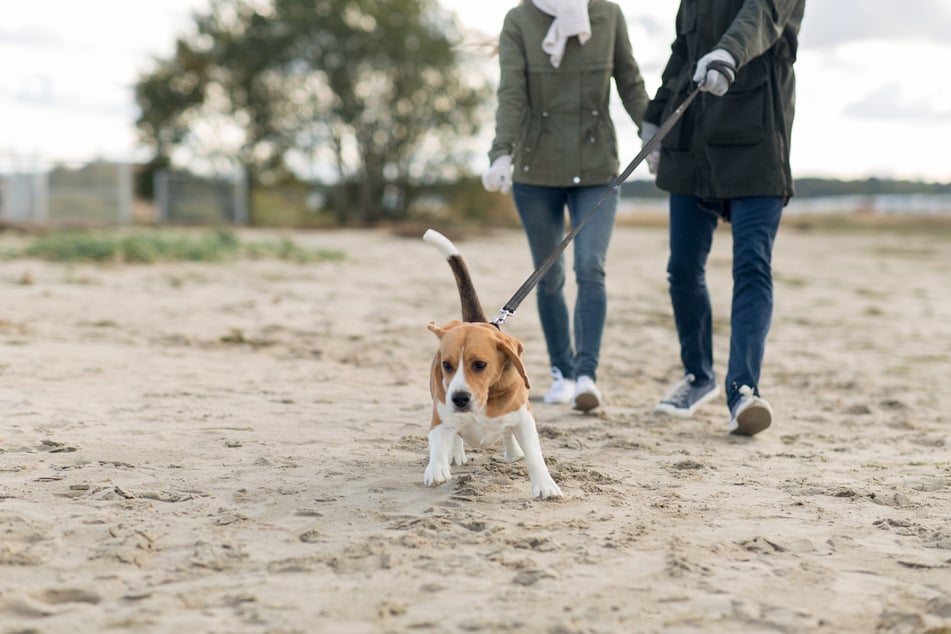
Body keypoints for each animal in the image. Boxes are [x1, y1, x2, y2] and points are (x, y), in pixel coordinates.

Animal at [420, 228, 560, 498]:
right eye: (446, 365)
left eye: (479, 365)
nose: (459, 398)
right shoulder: (440, 415)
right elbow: (439, 439)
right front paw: (437, 468)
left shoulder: (524, 418)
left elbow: (535, 455)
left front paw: (545, 485)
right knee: (456, 437)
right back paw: (455, 453)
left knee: (508, 434)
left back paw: (512, 450)